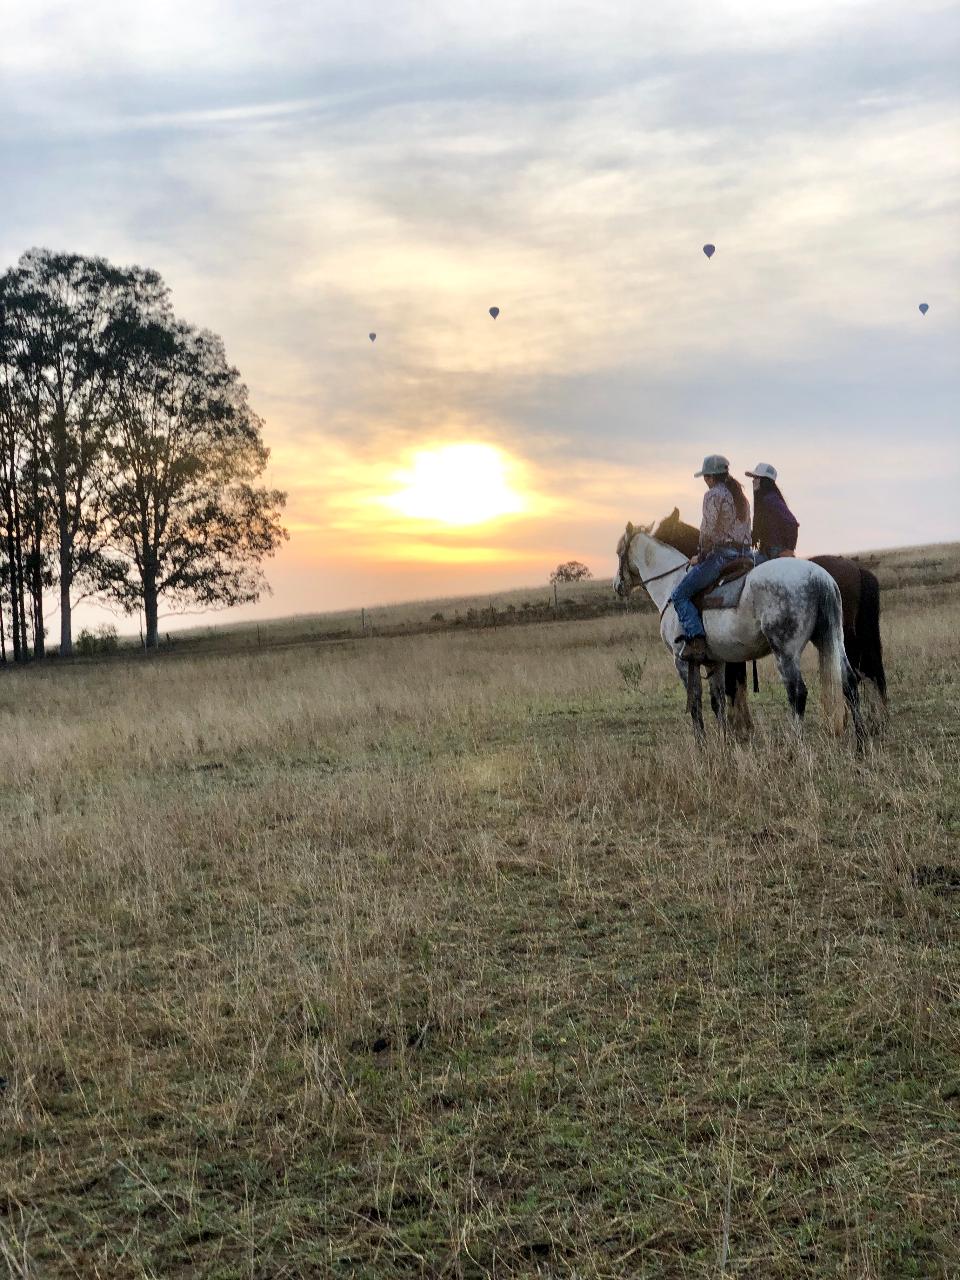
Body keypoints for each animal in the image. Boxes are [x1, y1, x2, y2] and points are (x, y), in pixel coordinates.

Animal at [614, 523, 865, 747]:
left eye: (618, 553)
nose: (617, 585)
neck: (671, 586)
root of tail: (817, 576)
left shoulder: (681, 661)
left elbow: (695, 703)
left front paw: (702, 745)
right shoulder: (715, 661)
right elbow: (718, 702)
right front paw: (724, 742)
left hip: (785, 653)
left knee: (797, 693)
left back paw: (796, 747)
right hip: (831, 640)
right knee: (849, 682)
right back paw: (861, 742)